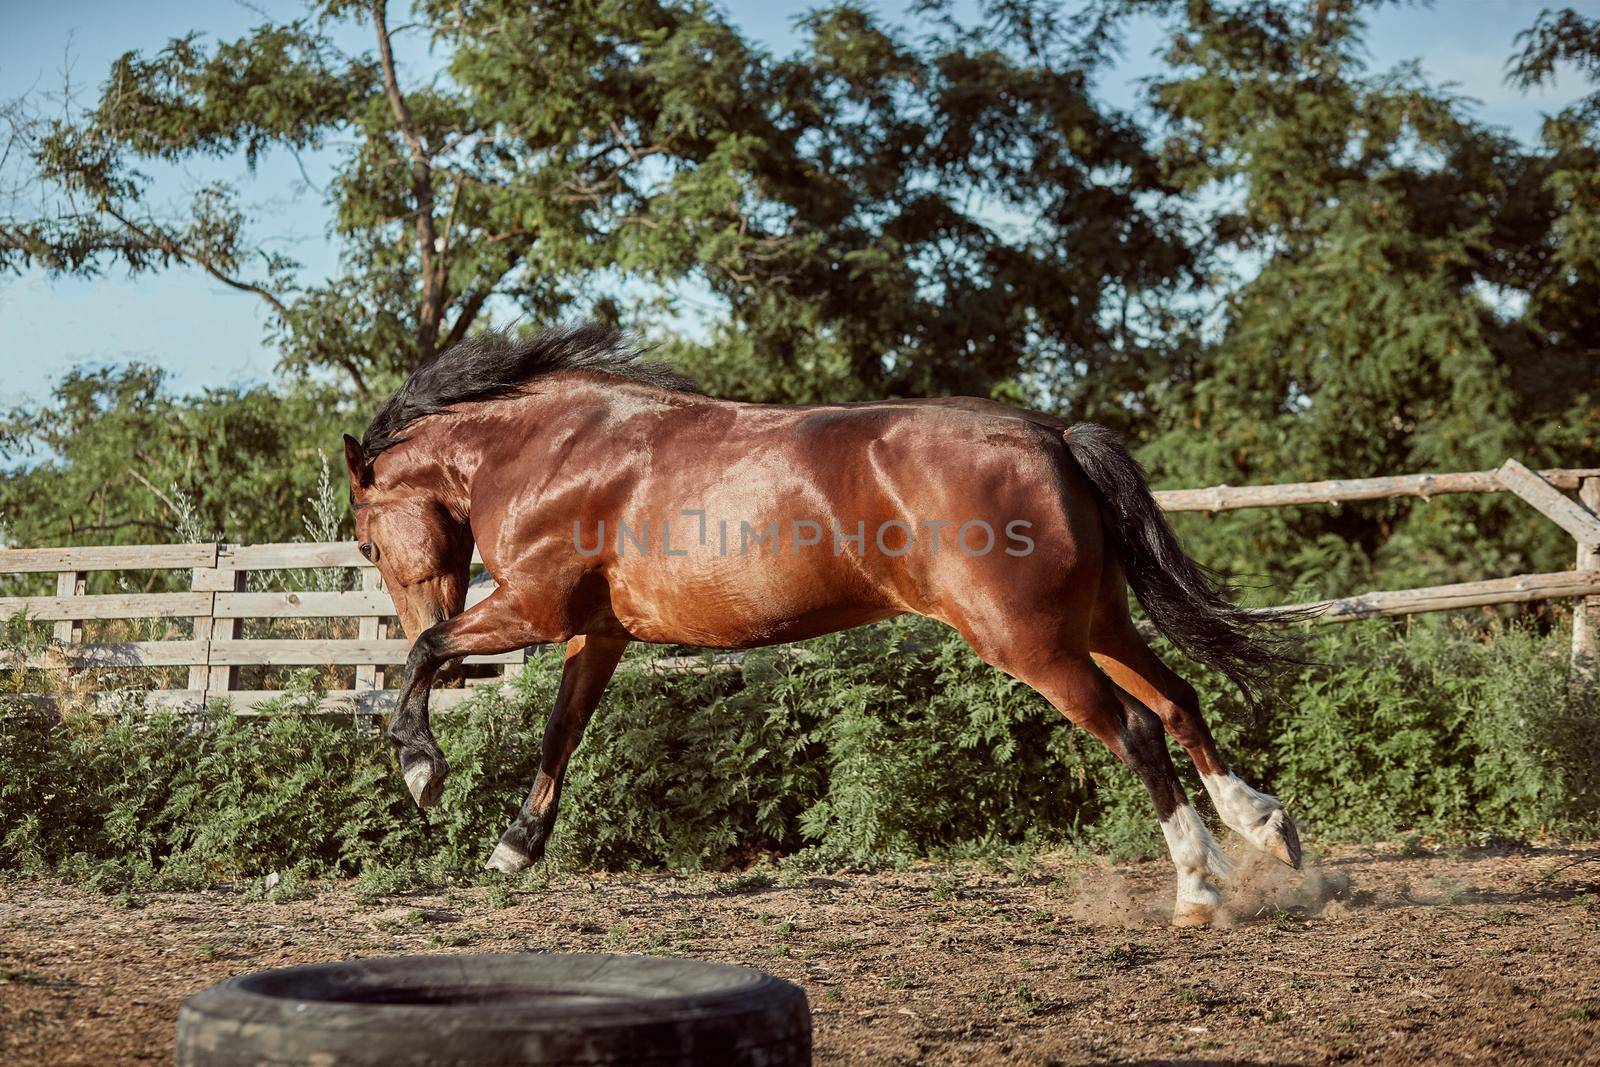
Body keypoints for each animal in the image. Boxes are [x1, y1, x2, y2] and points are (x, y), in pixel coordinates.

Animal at [347, 323, 1299, 927]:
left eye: (363, 539)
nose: (424, 597)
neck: (553, 449)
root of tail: (1053, 438)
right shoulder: (597, 632)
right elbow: (560, 732)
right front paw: (514, 849)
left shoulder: (532, 610)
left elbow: (423, 654)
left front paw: (422, 770)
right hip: (1096, 624)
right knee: (1180, 702)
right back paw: (1265, 829)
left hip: (1030, 643)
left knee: (1137, 727)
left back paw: (1197, 889)